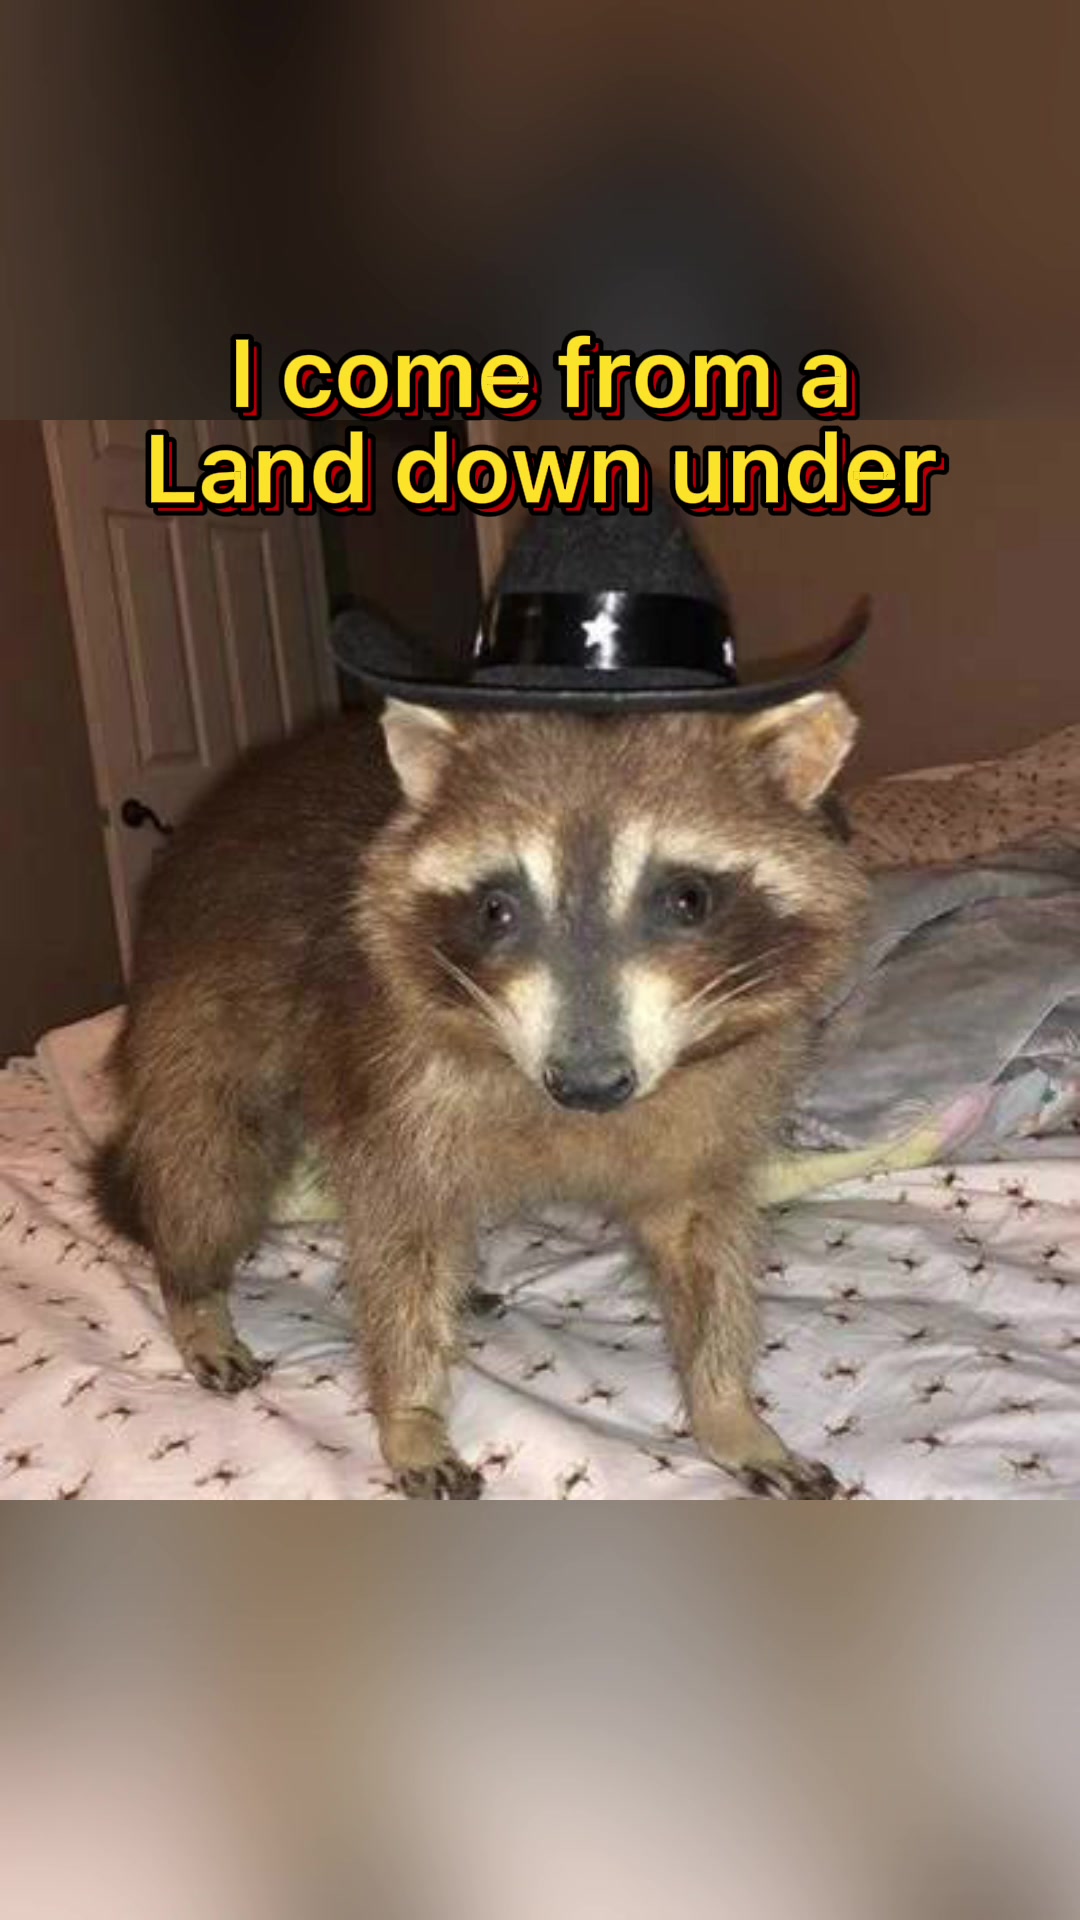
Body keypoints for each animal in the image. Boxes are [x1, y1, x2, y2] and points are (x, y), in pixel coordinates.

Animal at [93, 690, 865, 1499]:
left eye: (688, 899)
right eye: (497, 908)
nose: (587, 1083)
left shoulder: (714, 1107)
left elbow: (703, 1247)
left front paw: (727, 1408)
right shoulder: (391, 1070)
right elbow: (401, 1242)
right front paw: (409, 1415)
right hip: (201, 1000)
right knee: (207, 1162)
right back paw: (192, 1292)